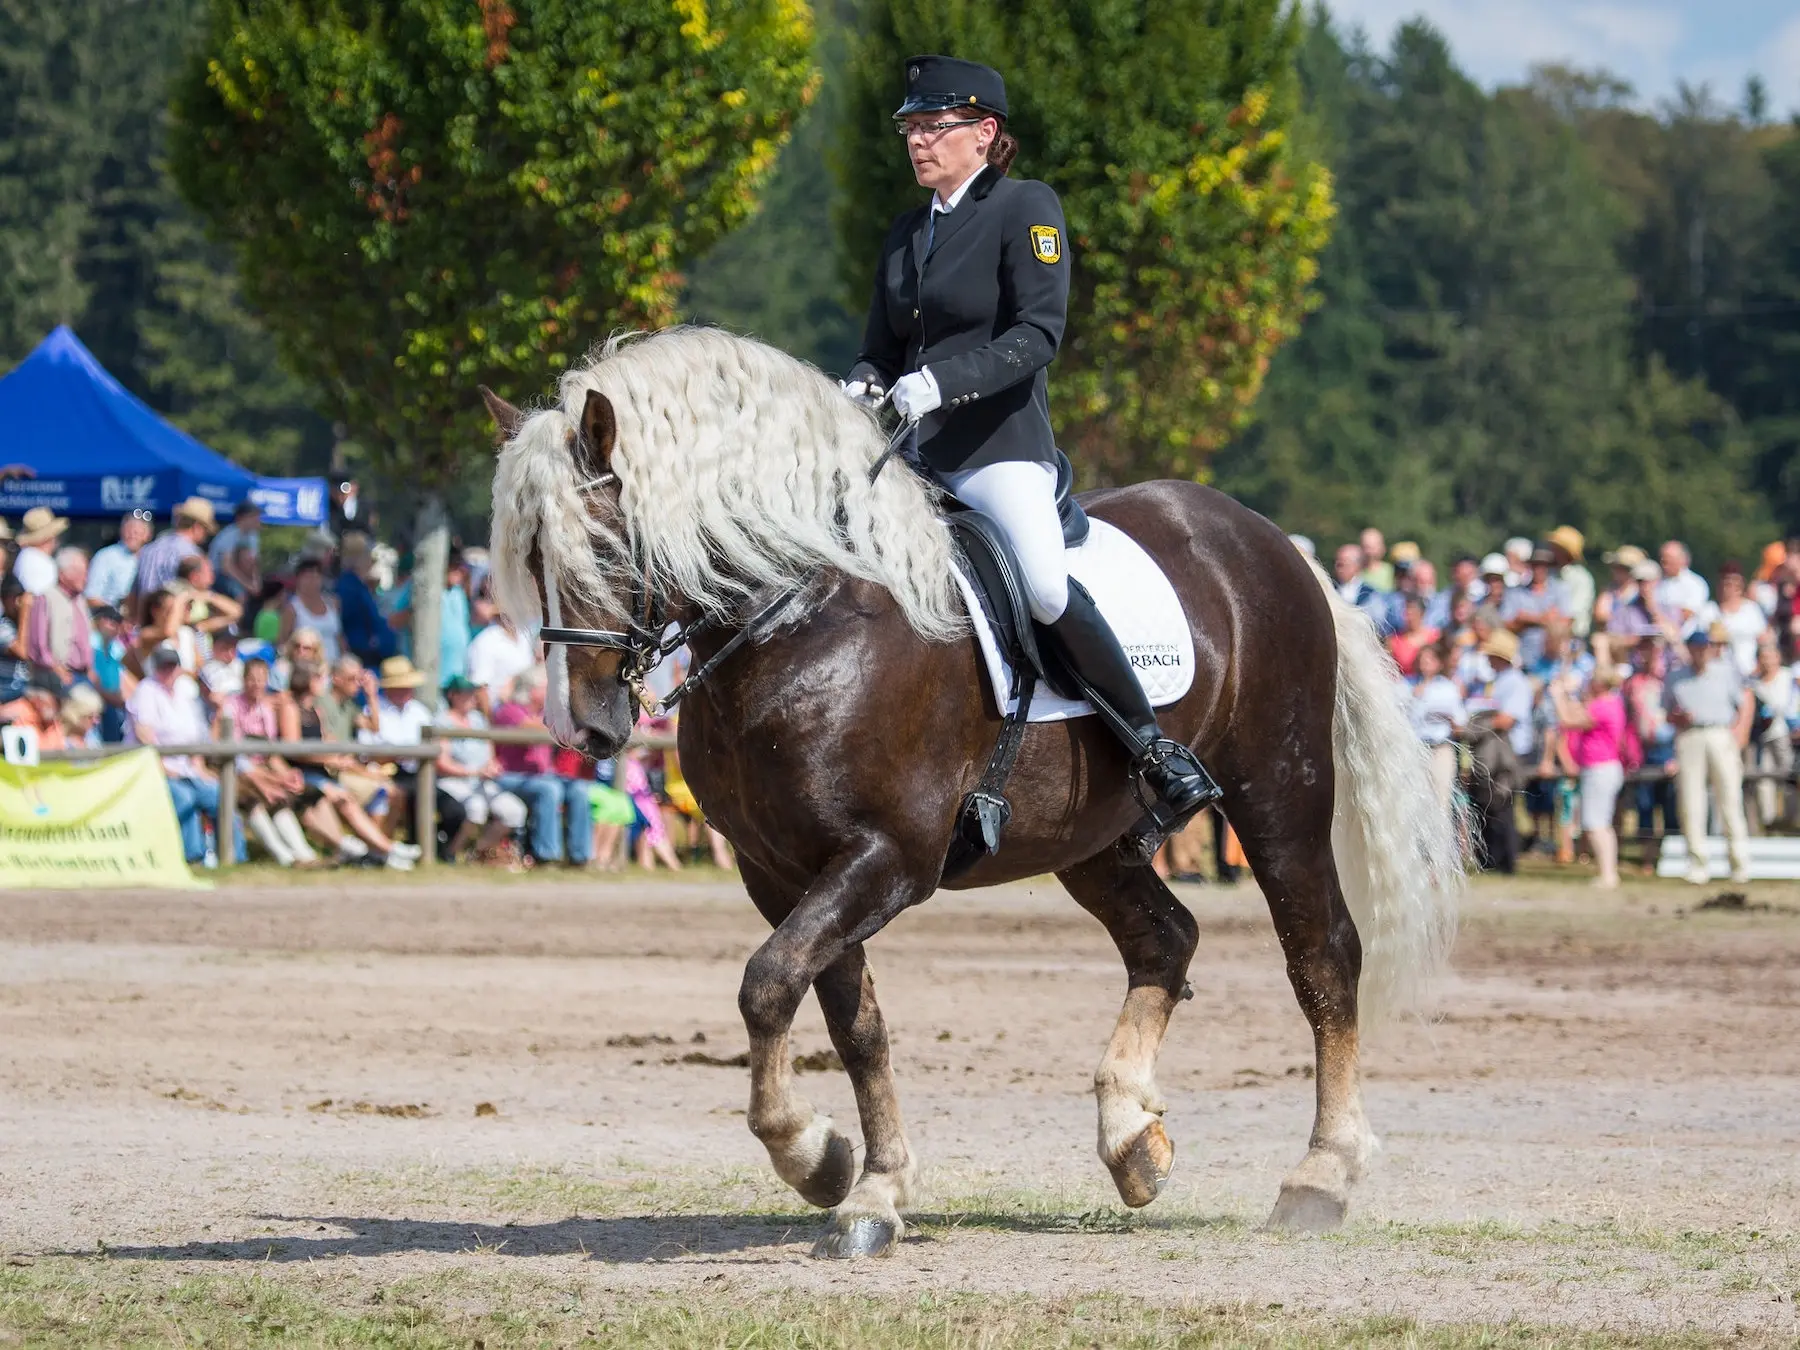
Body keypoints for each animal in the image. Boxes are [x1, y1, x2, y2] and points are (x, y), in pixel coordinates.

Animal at [482, 325, 1461, 1260]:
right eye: (528, 557)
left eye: (603, 544)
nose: (582, 729)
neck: (800, 621)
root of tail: (1268, 540)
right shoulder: (784, 869)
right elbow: (848, 1018)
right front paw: (867, 1188)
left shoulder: (888, 858)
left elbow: (767, 984)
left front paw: (811, 1156)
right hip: (1091, 839)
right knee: (1166, 938)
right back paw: (1131, 1138)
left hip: (1278, 793)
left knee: (1322, 956)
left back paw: (1320, 1176)